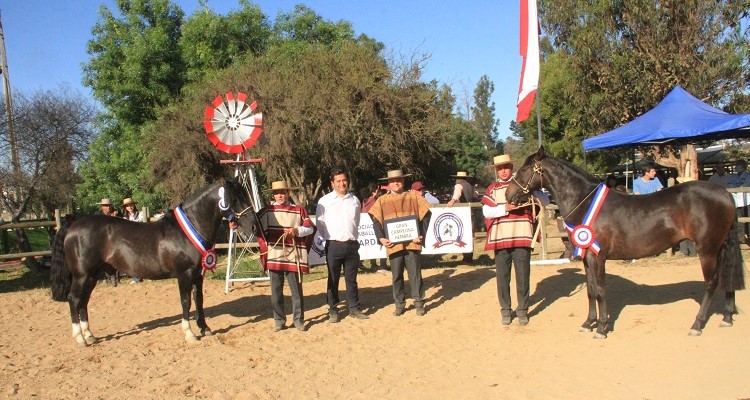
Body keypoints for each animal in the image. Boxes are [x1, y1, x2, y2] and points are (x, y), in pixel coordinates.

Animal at [51, 179, 258, 346]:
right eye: (235, 198)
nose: (254, 225)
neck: (187, 231)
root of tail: (73, 226)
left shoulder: (198, 274)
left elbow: (199, 300)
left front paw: (204, 328)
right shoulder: (185, 274)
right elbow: (186, 302)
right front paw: (190, 334)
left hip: (92, 276)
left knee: (83, 301)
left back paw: (90, 335)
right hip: (81, 275)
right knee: (74, 299)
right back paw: (80, 338)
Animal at [506, 147, 748, 338]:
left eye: (525, 170)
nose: (508, 194)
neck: (585, 202)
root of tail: (725, 194)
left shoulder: (598, 257)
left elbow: (600, 290)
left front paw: (602, 327)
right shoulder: (586, 257)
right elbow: (590, 290)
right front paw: (588, 323)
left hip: (707, 249)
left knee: (711, 283)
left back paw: (697, 324)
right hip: (721, 247)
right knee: (726, 278)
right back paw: (727, 317)